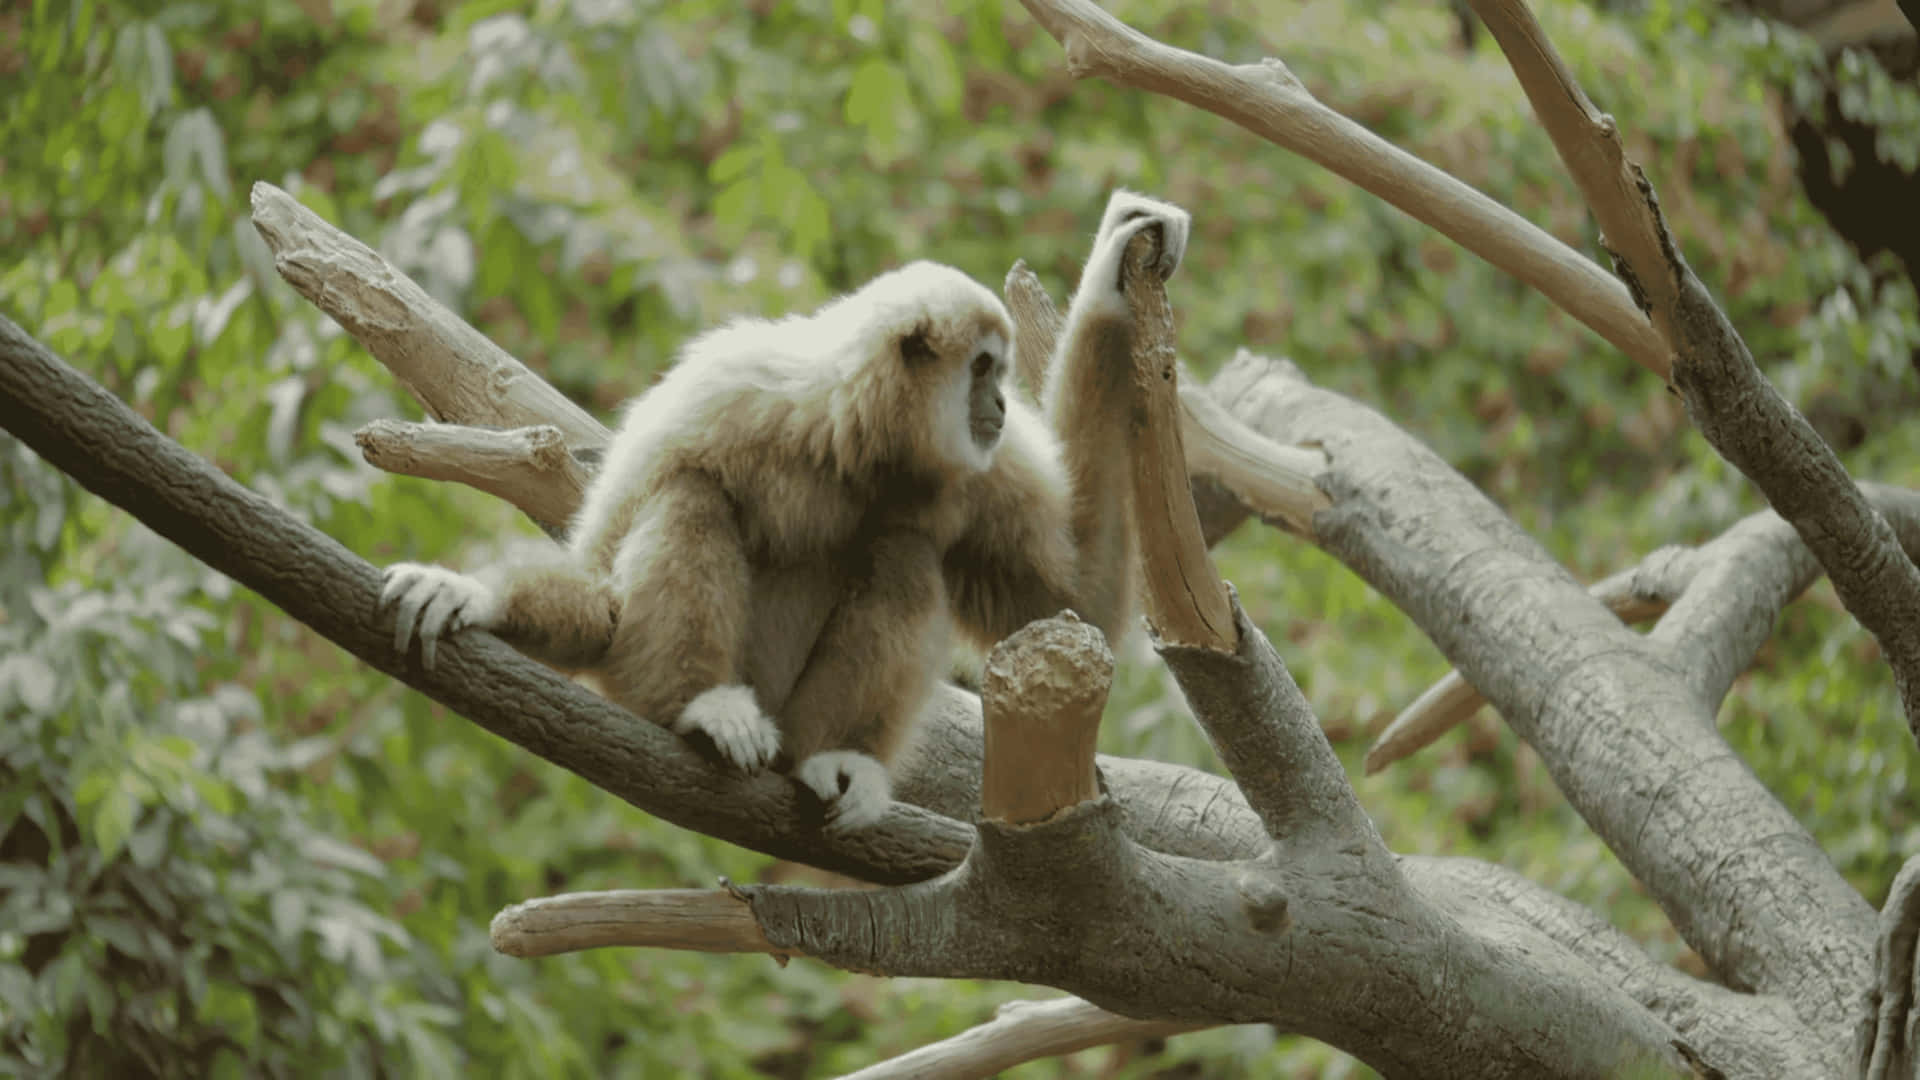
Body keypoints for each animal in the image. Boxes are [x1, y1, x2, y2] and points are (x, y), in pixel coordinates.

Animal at [380, 189, 1190, 829]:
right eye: (984, 368)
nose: (996, 404)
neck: (861, 444)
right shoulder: (721, 390)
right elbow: (603, 584)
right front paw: (475, 593)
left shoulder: (994, 469)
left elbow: (1074, 607)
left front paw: (1114, 283)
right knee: (690, 494)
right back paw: (701, 708)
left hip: (798, 715)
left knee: (905, 551)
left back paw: (838, 759)